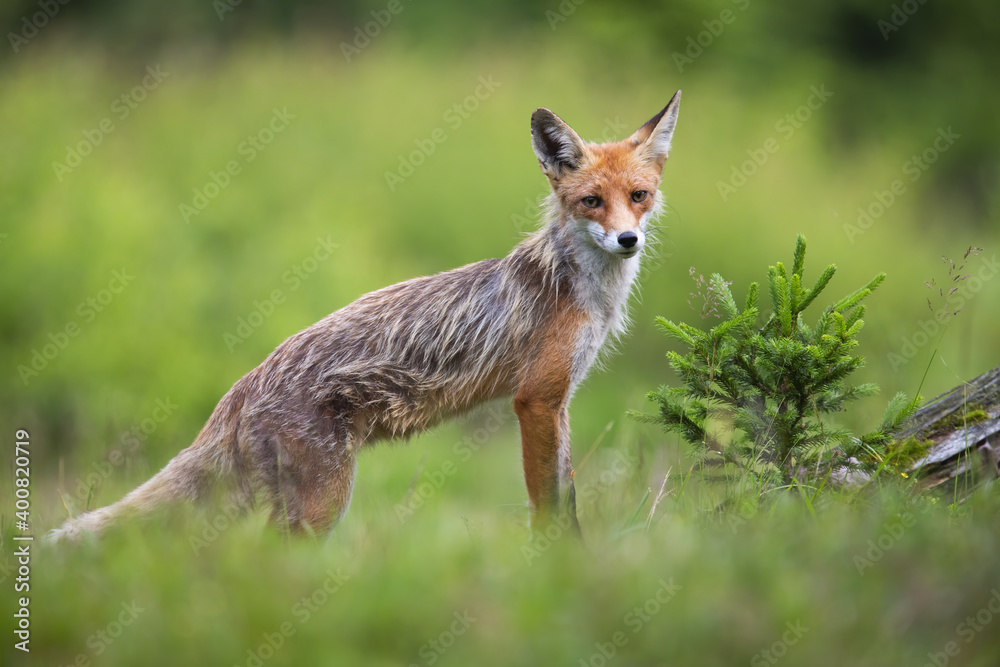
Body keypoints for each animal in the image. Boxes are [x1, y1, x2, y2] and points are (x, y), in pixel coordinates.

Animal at [52, 92, 680, 544]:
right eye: (591, 202)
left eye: (639, 196)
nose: (628, 240)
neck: (581, 290)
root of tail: (242, 385)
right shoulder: (537, 400)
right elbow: (549, 506)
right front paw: (559, 566)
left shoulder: (561, 403)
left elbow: (567, 497)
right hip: (323, 504)